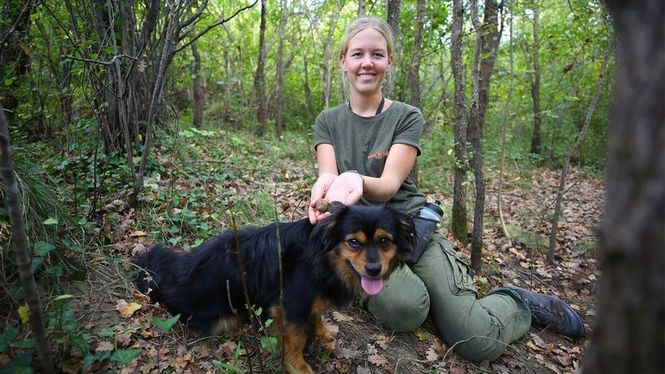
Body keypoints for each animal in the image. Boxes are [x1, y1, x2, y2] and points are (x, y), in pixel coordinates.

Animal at [134, 205, 412, 374]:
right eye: (353, 242)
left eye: (384, 241)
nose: (374, 269)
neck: (323, 260)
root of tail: (172, 284)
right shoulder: (291, 306)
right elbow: (296, 341)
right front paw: (298, 366)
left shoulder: (306, 302)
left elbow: (316, 315)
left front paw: (323, 333)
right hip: (225, 315)